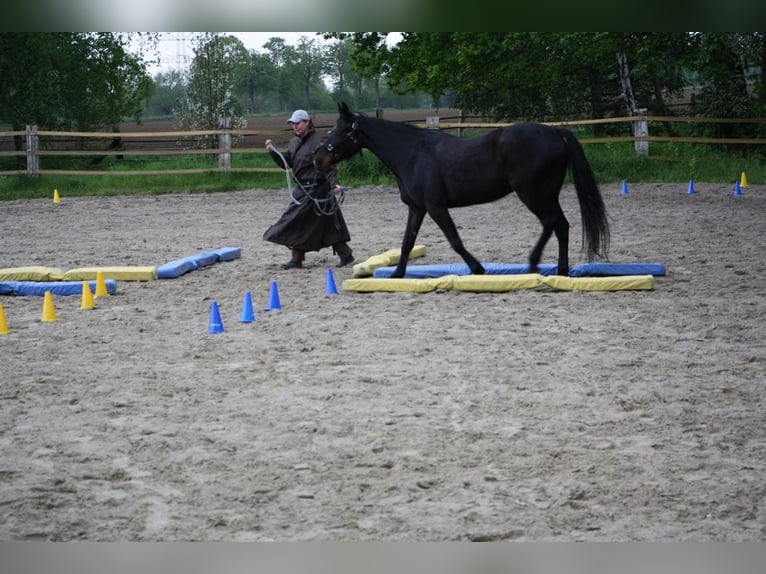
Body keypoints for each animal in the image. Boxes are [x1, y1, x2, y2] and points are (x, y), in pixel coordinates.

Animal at [314, 102, 612, 280]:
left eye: (339, 131)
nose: (318, 159)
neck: (412, 153)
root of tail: (556, 133)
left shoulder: (435, 207)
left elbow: (455, 240)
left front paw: (477, 269)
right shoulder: (417, 208)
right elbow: (407, 242)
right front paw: (397, 275)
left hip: (534, 195)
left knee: (554, 223)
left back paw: (537, 265)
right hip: (547, 195)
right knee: (560, 225)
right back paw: (557, 270)